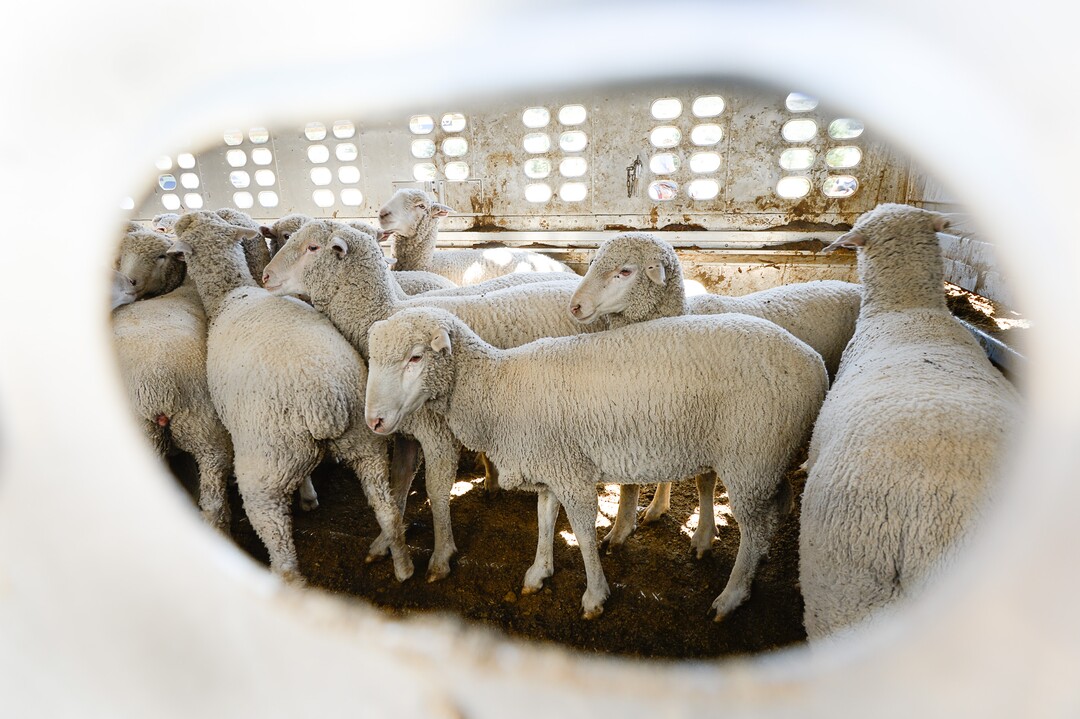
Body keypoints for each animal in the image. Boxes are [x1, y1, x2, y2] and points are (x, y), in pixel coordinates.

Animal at [167, 211, 413, 584]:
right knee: (388, 511)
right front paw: (309, 496)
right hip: (365, 444)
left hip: (265, 467)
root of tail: (325, 401)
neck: (232, 293)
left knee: (282, 555)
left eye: (312, 247)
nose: (266, 276)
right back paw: (402, 567)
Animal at [261, 221, 603, 580]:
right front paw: (386, 541)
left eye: (312, 247)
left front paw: (441, 556)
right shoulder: (405, 432)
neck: (388, 309)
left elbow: (436, 492)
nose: (265, 276)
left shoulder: (438, 433)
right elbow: (397, 486)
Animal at [364, 307, 828, 619]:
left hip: (750, 455)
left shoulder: (572, 474)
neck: (497, 390)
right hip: (767, 459)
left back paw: (731, 596)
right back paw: (753, 568)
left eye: (416, 357)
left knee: (754, 527)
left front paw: (594, 595)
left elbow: (584, 534)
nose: (374, 421)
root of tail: (816, 365)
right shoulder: (552, 466)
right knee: (777, 507)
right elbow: (545, 520)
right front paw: (538, 573)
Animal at [569, 231, 862, 549]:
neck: (681, 313)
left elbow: (704, 482)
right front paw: (650, 510)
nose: (575, 306)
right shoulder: (663, 407)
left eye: (625, 271)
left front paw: (703, 533)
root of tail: (851, 285)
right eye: (593, 263)